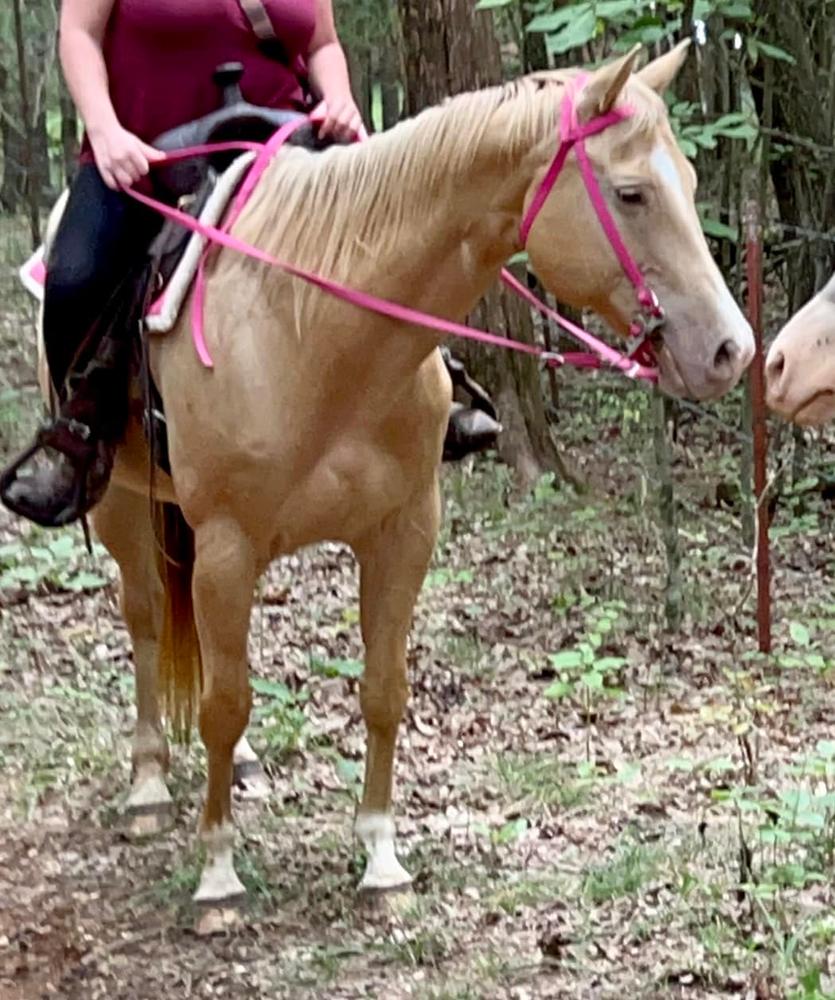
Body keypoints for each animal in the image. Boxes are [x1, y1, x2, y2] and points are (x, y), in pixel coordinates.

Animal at [51, 41, 753, 933]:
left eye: (689, 182)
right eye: (630, 193)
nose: (731, 350)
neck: (317, 331)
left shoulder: (403, 532)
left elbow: (381, 691)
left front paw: (381, 858)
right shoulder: (228, 545)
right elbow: (223, 703)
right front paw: (217, 876)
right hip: (124, 506)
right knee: (144, 621)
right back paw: (146, 784)